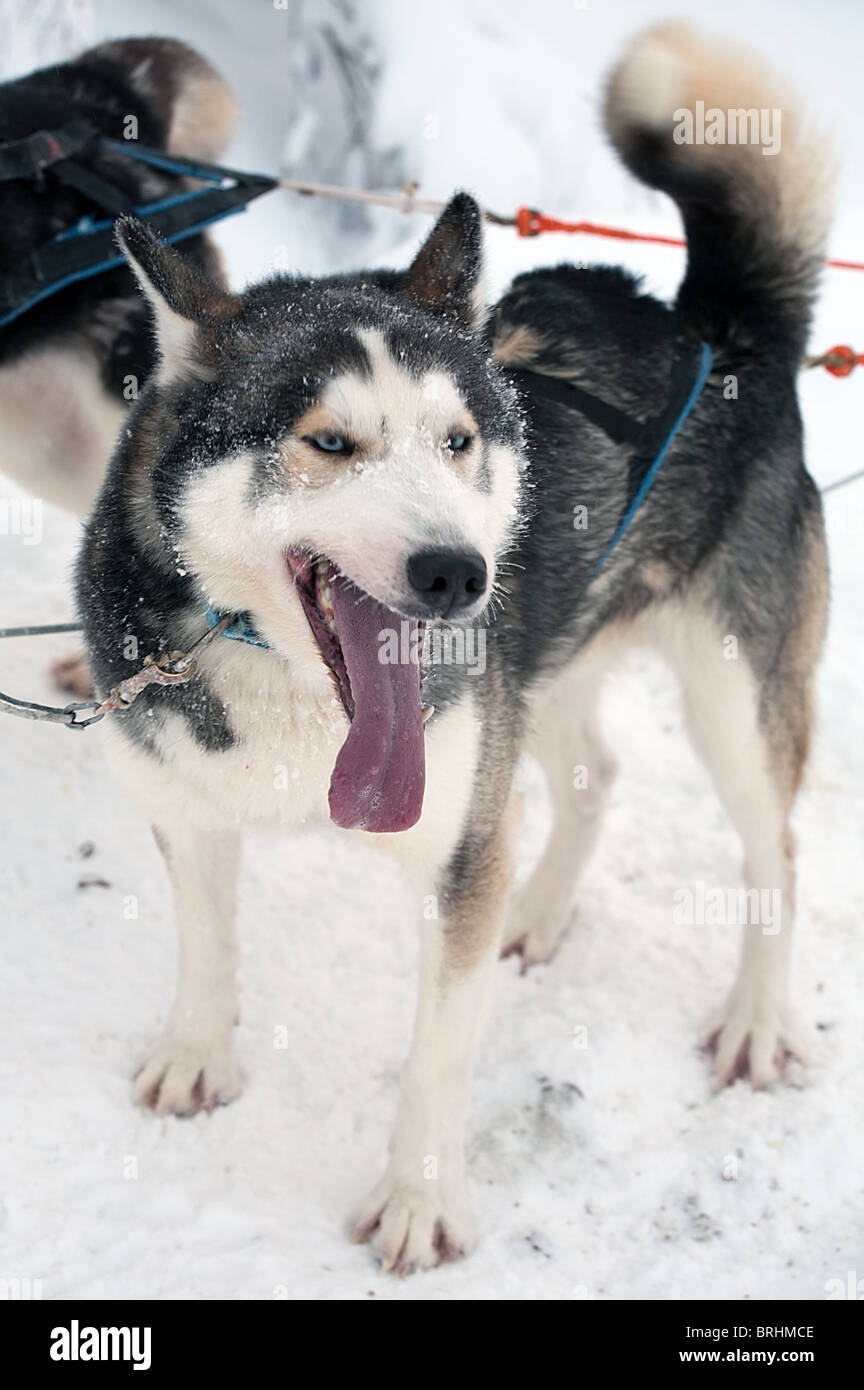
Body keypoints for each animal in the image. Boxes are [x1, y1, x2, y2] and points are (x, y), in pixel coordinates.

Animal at [79, 21, 833, 1273]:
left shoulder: (457, 854)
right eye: (329, 442)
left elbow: (438, 1054)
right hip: (546, 666)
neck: (302, 702)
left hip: (731, 694)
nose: (457, 574)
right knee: (594, 777)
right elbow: (205, 944)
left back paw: (758, 1016)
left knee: (773, 850)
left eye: (457, 439)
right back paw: (542, 909)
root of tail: (718, 332)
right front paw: (197, 1053)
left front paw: (419, 1203)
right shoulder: (187, 804)